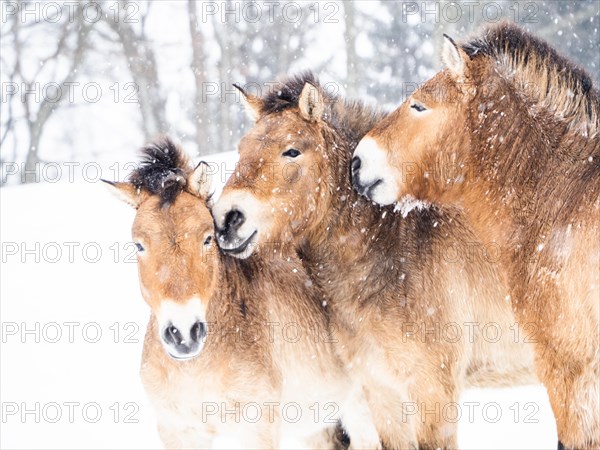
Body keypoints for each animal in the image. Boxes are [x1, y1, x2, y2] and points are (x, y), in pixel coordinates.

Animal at [104, 138, 380, 450]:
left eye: (207, 238)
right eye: (139, 245)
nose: (184, 334)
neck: (198, 370)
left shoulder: (257, 430)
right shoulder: (177, 432)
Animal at [211, 72, 536, 448]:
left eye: (291, 151)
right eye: (241, 150)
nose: (227, 219)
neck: (395, 245)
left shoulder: (433, 390)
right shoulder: (380, 390)